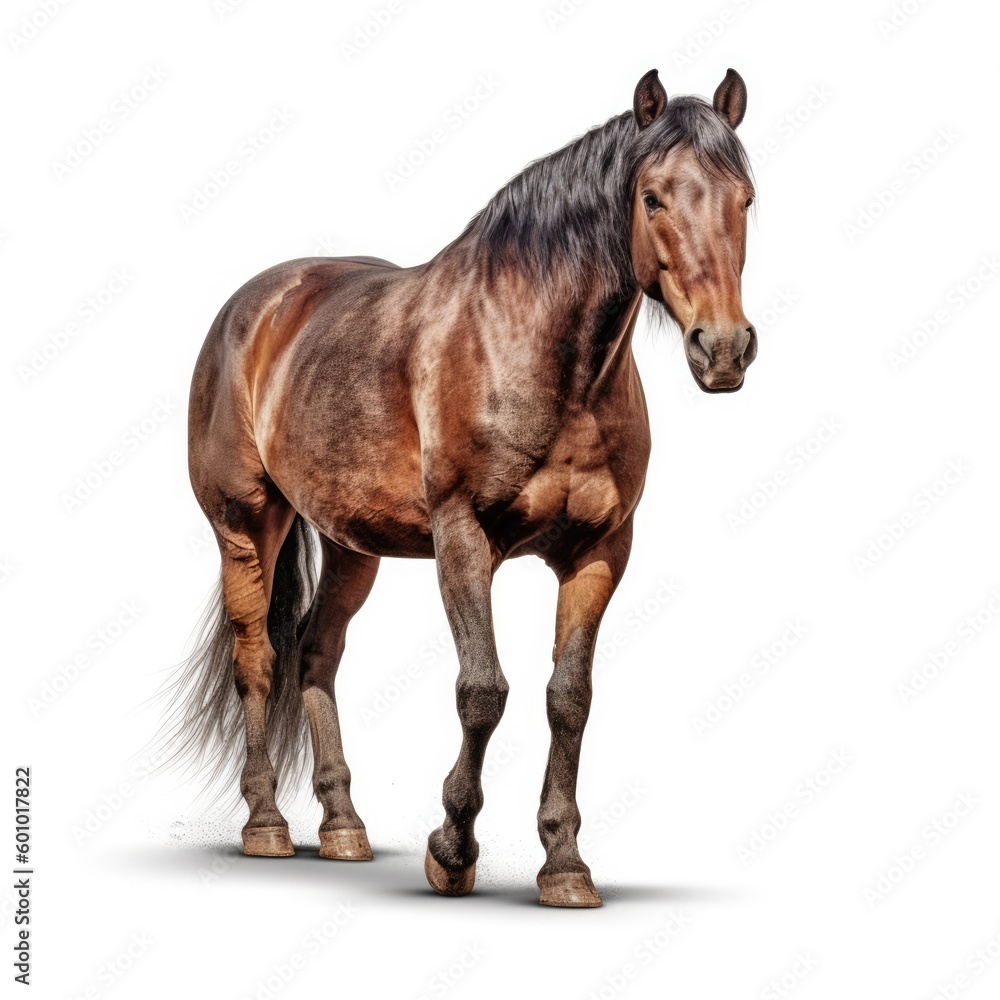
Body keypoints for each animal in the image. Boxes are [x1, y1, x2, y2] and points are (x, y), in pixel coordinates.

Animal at [174, 67, 757, 908]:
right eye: (652, 198)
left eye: (746, 198)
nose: (725, 349)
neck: (538, 352)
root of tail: (256, 306)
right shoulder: (463, 538)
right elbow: (483, 690)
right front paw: (452, 849)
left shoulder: (600, 551)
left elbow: (568, 699)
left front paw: (564, 863)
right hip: (246, 521)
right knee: (257, 658)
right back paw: (268, 826)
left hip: (353, 545)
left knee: (316, 653)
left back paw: (343, 826)